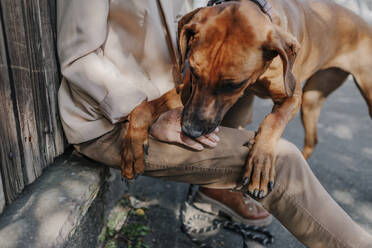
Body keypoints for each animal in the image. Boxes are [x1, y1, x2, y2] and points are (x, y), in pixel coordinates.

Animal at [120, 0, 372, 198]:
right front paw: (132, 147)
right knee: (313, 139)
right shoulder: (186, 92)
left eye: (233, 85)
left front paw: (261, 161)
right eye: (193, 71)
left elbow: (273, 121)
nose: (190, 130)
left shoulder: (292, 96)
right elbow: (142, 109)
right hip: (312, 100)